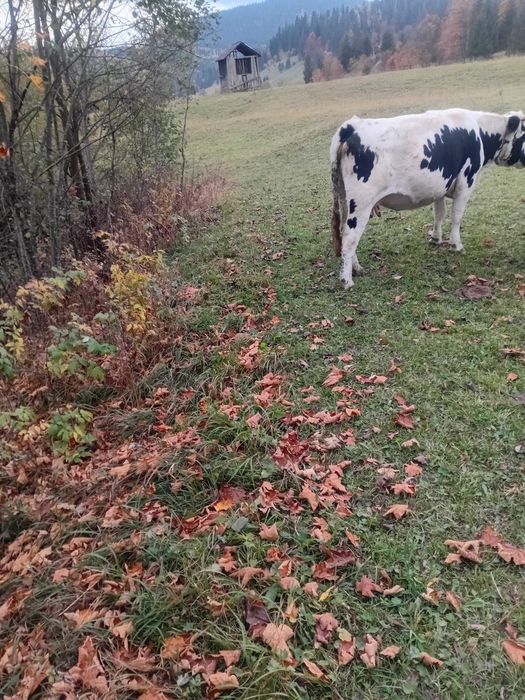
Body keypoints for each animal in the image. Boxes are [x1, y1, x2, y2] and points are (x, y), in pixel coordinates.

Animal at [330, 108, 525, 289]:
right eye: (524, 134)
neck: (480, 131)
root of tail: (352, 126)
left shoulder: (440, 186)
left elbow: (439, 214)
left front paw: (436, 238)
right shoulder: (466, 181)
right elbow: (456, 216)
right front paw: (456, 245)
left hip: (344, 198)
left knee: (344, 231)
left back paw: (357, 269)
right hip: (361, 202)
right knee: (350, 237)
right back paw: (347, 280)